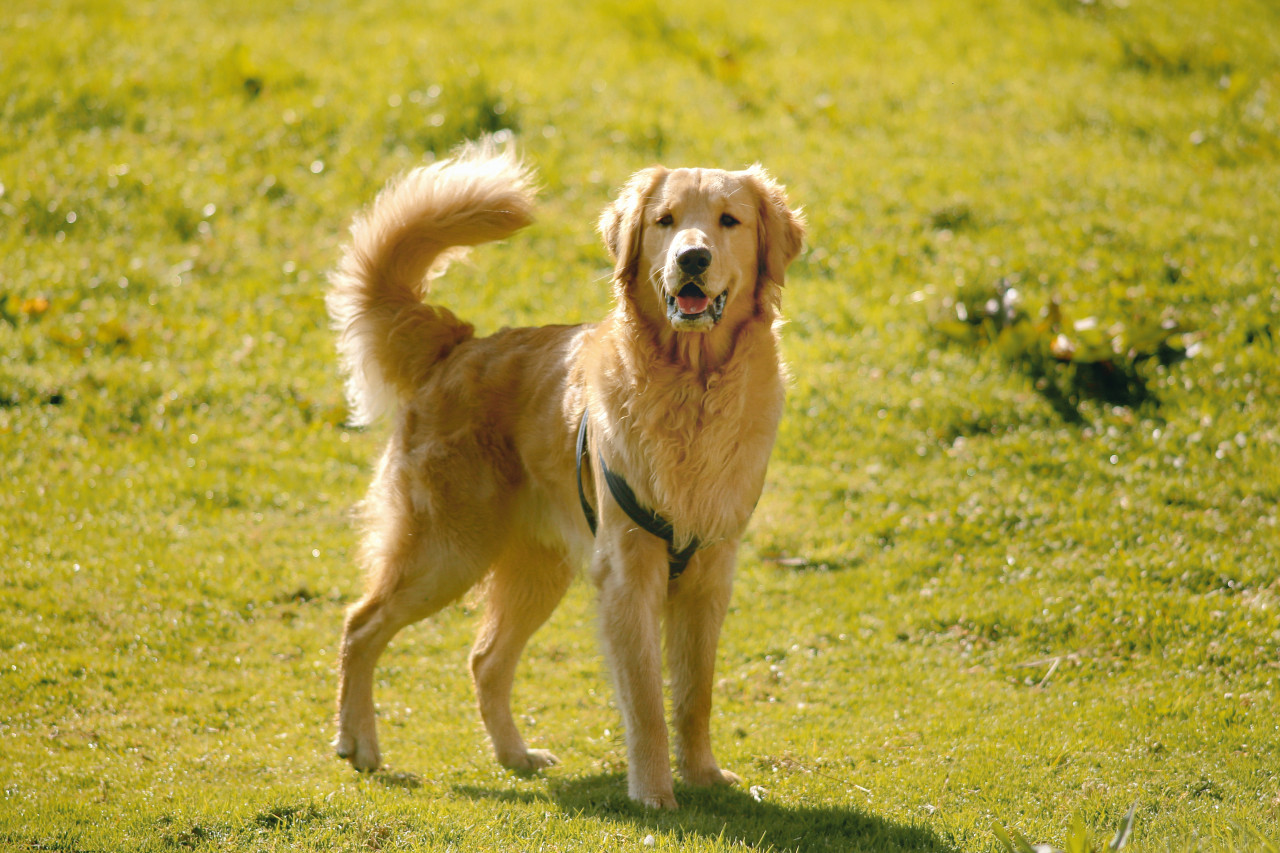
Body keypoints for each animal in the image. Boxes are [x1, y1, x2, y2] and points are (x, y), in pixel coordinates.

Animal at [327, 136, 798, 809]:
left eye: (728, 221)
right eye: (666, 221)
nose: (693, 257)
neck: (692, 386)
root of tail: (457, 343)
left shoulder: (710, 573)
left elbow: (694, 695)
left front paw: (705, 775)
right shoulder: (629, 576)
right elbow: (647, 703)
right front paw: (655, 795)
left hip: (535, 569)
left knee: (484, 660)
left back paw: (514, 756)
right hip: (448, 549)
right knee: (361, 624)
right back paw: (358, 743)